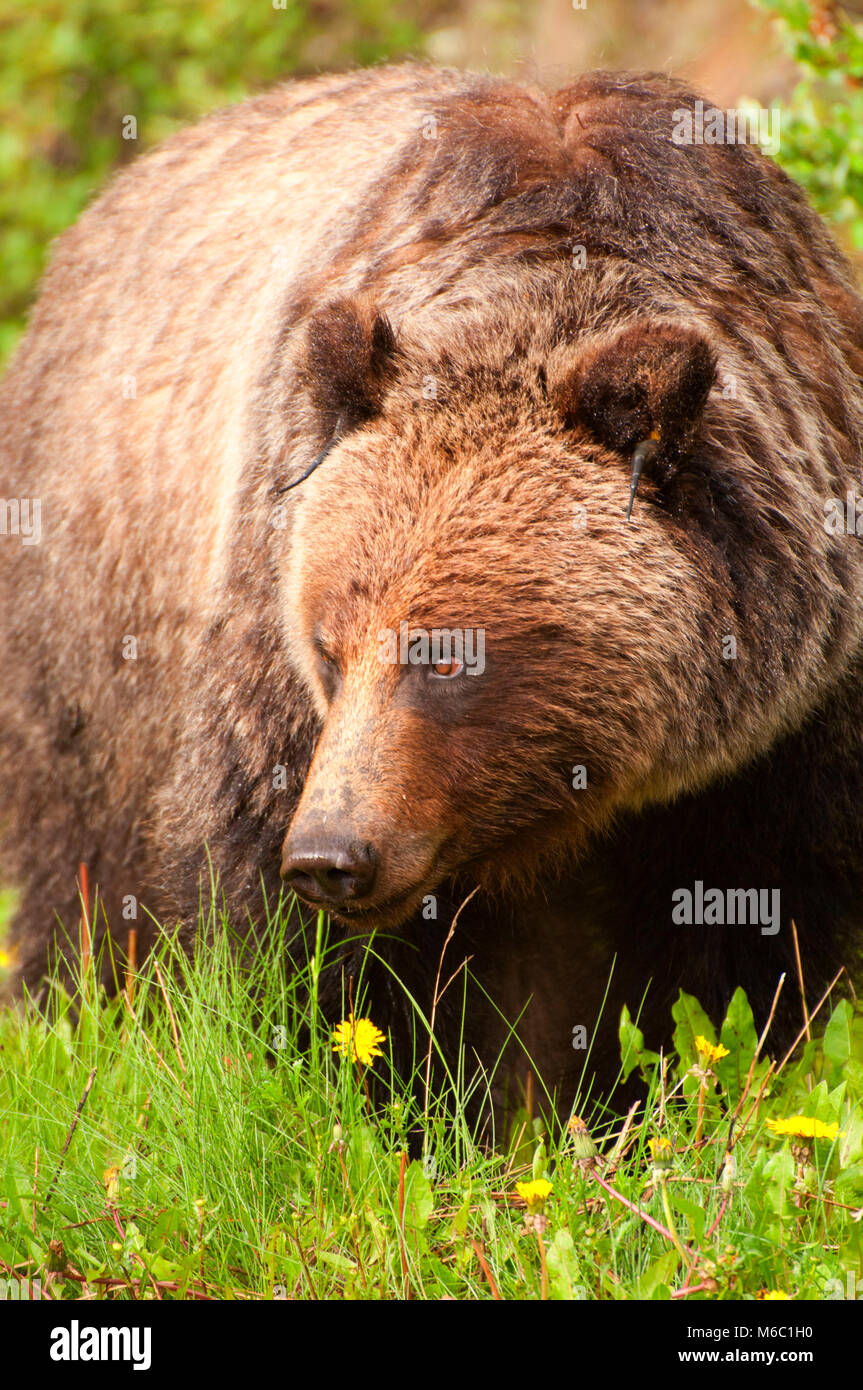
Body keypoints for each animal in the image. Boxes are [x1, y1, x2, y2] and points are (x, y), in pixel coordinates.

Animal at [1, 65, 861, 1117]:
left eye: (447, 657)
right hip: (92, 641)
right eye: (327, 647)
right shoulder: (272, 646)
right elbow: (275, 938)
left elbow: (736, 965)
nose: (331, 856)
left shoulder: (782, 731)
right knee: (77, 880)